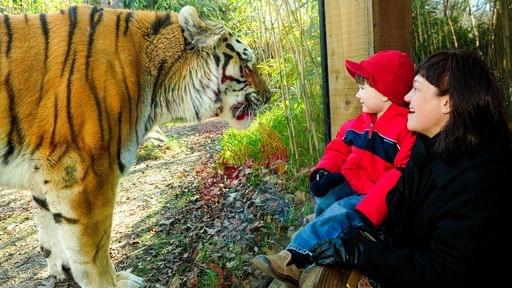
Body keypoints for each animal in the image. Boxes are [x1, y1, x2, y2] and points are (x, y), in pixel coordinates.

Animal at [0, 5, 270, 288]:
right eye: (246, 65)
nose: (270, 95)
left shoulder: (45, 173)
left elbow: (50, 229)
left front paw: (63, 268)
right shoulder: (86, 173)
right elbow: (93, 250)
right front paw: (112, 282)